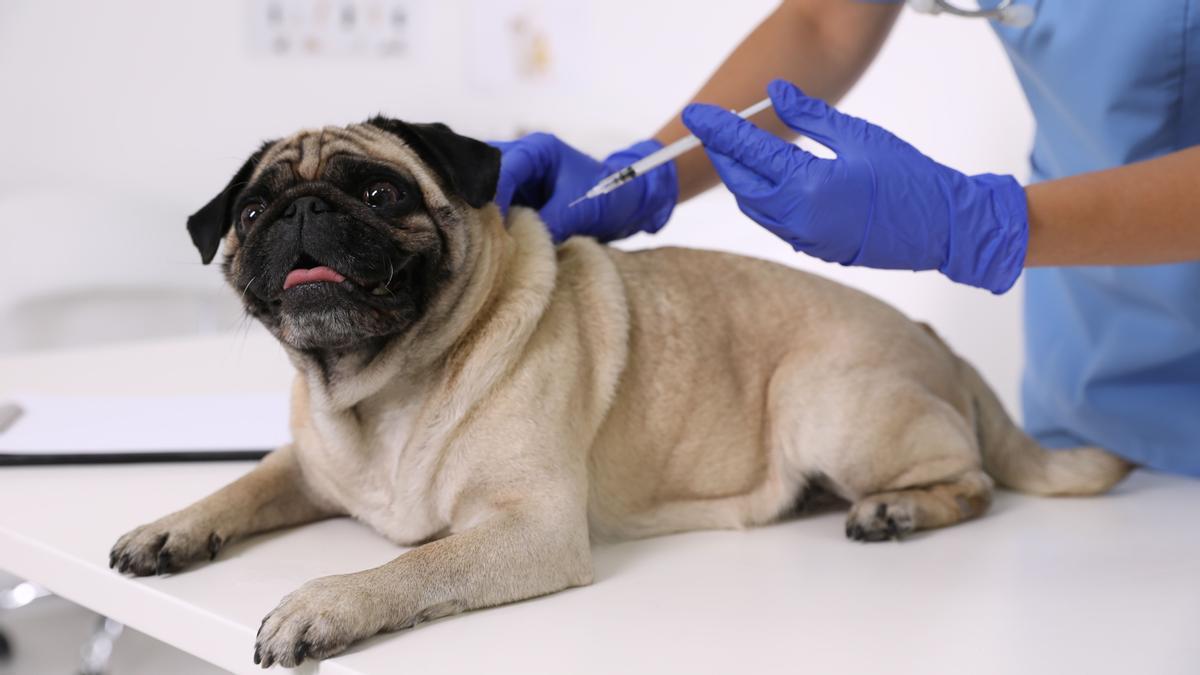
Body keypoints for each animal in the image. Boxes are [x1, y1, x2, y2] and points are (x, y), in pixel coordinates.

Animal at [108, 118, 1128, 662]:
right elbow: (243, 483)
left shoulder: (531, 525)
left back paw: (896, 510)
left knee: (975, 480)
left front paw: (326, 601)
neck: (378, 391)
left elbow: (413, 566)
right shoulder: (309, 465)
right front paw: (171, 526)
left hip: (826, 406)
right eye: (251, 211)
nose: (303, 211)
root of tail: (933, 336)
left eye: (380, 193)